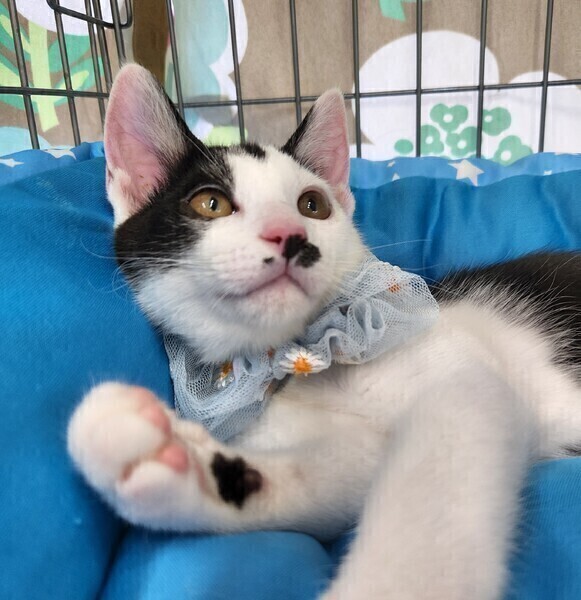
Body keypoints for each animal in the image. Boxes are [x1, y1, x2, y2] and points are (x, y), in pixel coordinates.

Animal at [68, 64, 581, 600]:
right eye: (211, 203)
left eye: (312, 205)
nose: (290, 236)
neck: (301, 360)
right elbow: (339, 475)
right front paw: (184, 463)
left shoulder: (466, 385)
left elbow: (431, 487)